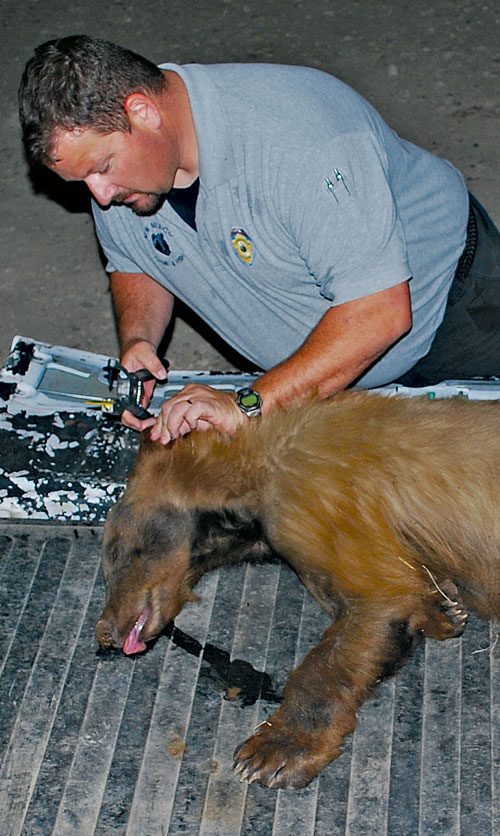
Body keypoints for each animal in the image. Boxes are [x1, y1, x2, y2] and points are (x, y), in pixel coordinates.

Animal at [95, 392, 500, 792]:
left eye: (115, 554)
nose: (105, 632)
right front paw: (444, 609)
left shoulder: (317, 498)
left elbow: (376, 597)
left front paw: (274, 751)